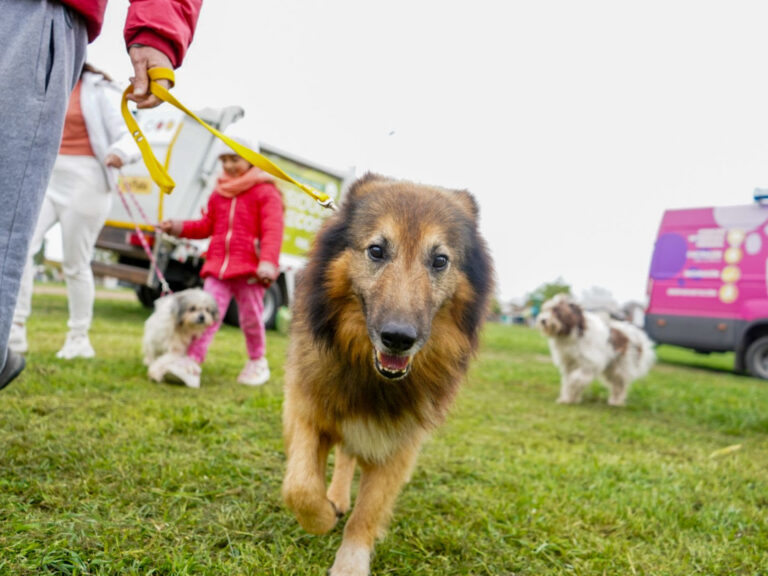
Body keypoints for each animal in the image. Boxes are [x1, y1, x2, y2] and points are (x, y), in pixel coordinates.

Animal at [282, 174, 492, 576]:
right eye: (377, 251)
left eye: (440, 260)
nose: (398, 338)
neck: (371, 375)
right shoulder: (306, 410)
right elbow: (299, 488)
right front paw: (322, 517)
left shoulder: (398, 447)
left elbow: (367, 514)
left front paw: (349, 562)